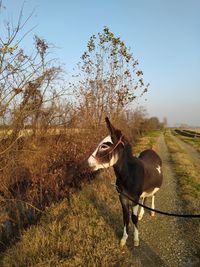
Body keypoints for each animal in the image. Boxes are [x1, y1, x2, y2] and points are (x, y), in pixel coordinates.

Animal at [87, 118, 162, 248]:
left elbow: (133, 218)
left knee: (153, 195)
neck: (128, 175)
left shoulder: (134, 199)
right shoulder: (122, 198)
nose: (88, 162)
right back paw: (142, 213)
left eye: (104, 146)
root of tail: (151, 151)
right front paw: (124, 238)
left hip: (153, 188)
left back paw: (152, 212)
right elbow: (125, 218)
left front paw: (136, 239)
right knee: (145, 198)